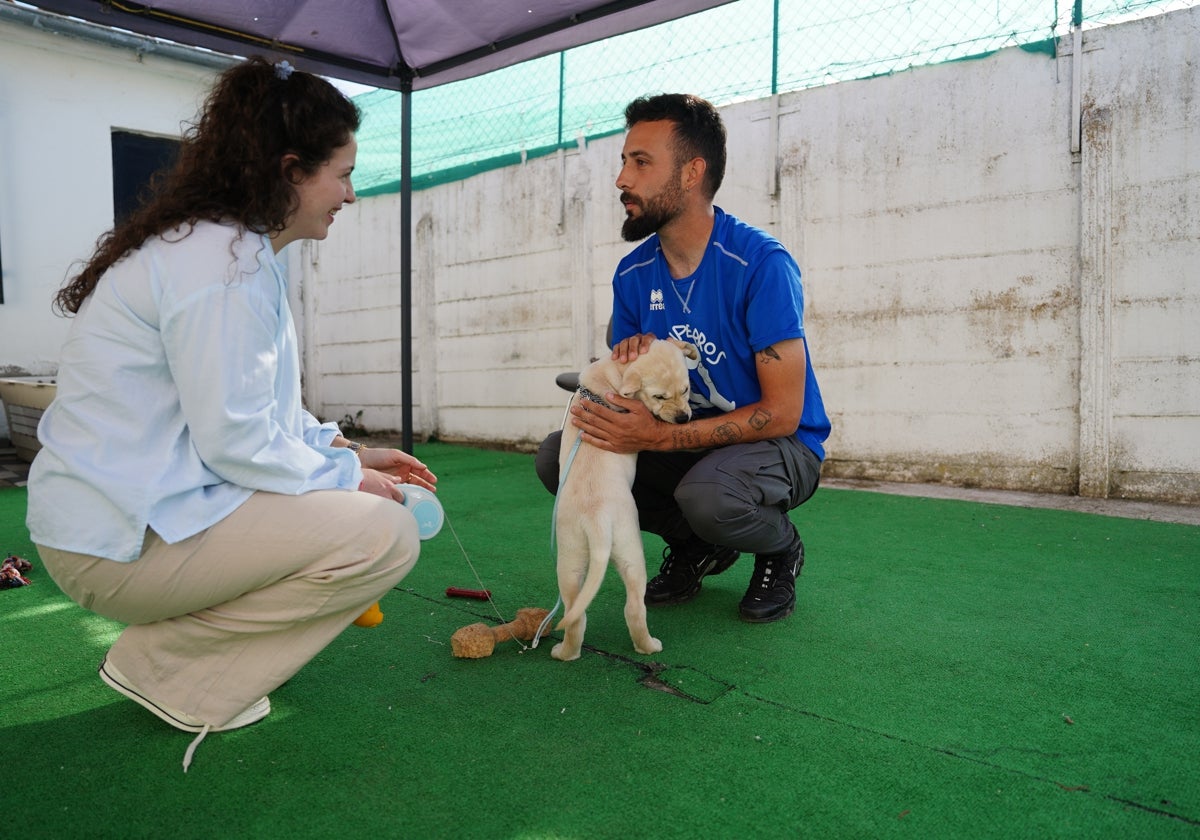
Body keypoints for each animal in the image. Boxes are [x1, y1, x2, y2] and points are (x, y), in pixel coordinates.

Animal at [549, 338, 700, 657]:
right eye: (659, 396)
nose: (683, 419)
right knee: (634, 608)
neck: (612, 375)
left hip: (569, 558)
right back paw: (649, 647)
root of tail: (595, 521)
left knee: (575, 613)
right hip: (631, 550)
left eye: (686, 390)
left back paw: (565, 653)